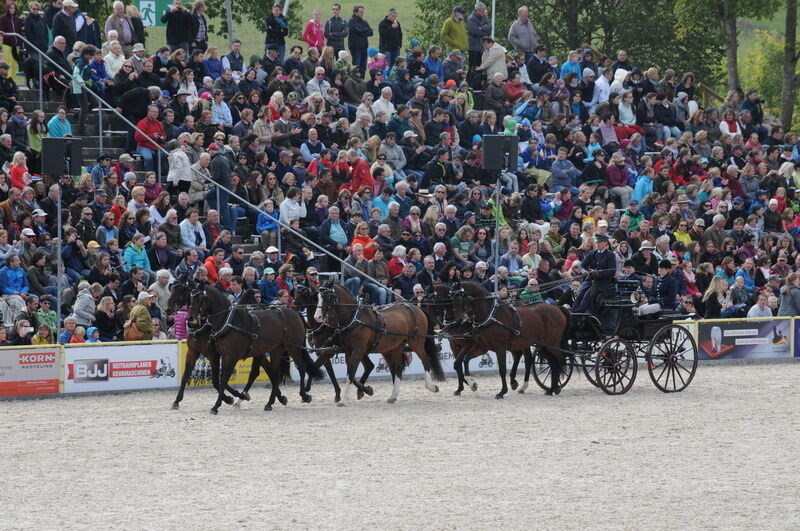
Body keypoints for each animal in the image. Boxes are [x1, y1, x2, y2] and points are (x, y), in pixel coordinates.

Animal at [189, 284, 324, 414]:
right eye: (190, 298)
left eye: (200, 298)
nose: (190, 318)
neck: (229, 322)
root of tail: (295, 313)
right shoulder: (223, 355)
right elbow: (222, 379)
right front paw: (236, 397)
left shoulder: (231, 357)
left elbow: (224, 379)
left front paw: (217, 406)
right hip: (277, 349)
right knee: (275, 374)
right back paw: (269, 403)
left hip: (293, 347)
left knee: (301, 368)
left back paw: (304, 395)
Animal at [316, 280, 446, 406]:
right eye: (317, 296)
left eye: (327, 296)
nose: (317, 317)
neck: (355, 318)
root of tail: (417, 308)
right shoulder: (349, 352)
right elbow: (350, 374)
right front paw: (365, 390)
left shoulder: (358, 351)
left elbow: (351, 374)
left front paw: (343, 400)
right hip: (397, 347)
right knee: (398, 369)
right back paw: (392, 396)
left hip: (416, 343)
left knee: (425, 360)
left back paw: (431, 387)